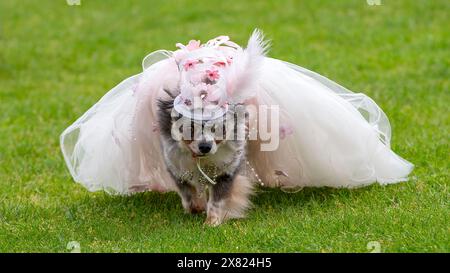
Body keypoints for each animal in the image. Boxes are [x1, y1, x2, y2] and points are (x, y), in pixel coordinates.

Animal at [157, 95, 253, 225]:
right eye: (190, 128)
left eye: (217, 129)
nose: (205, 147)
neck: (200, 159)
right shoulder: (176, 170)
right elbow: (188, 194)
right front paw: (196, 208)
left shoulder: (225, 172)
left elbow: (216, 201)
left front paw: (212, 222)